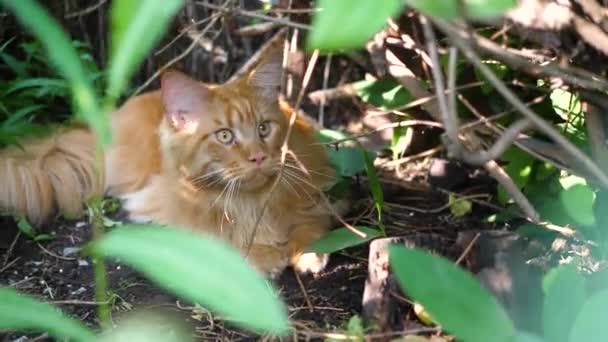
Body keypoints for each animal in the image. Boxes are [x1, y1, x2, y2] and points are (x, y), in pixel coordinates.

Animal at [0, 46, 334, 276]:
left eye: (264, 128)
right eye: (225, 136)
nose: (259, 157)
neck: (250, 202)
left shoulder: (319, 199)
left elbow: (311, 226)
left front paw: (308, 253)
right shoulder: (169, 212)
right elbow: (222, 239)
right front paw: (263, 256)